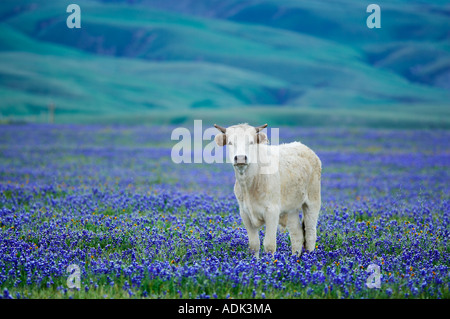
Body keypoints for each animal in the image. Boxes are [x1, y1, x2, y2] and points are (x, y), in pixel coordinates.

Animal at [214, 124, 322, 258]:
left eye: (251, 142)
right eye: (230, 142)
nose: (240, 158)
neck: (249, 184)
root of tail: (304, 147)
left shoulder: (272, 212)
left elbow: (269, 245)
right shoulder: (245, 214)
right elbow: (254, 245)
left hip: (312, 202)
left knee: (310, 233)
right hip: (291, 209)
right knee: (297, 235)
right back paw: (295, 259)